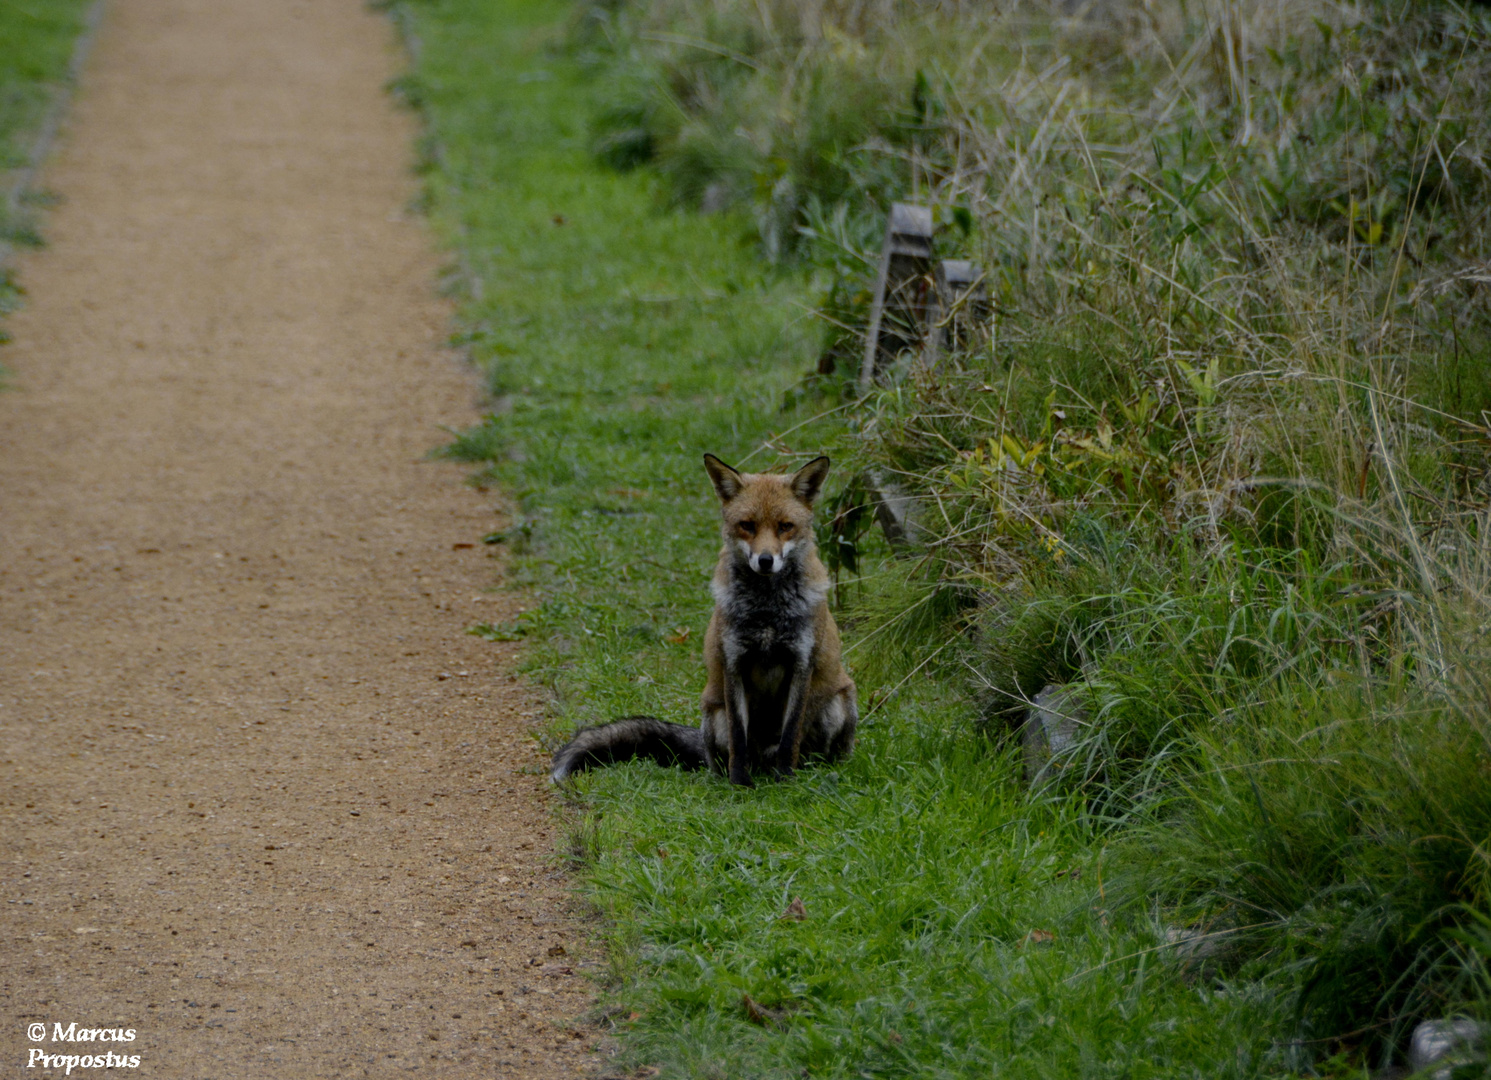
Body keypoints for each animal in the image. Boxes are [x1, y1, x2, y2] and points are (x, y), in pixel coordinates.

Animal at [551, 450, 858, 787]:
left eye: (785, 526)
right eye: (747, 525)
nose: (765, 560)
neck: (766, 612)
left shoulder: (801, 664)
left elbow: (790, 736)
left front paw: (785, 781)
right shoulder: (733, 663)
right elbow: (739, 738)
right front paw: (739, 784)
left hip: (838, 702)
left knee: (808, 751)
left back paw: (811, 770)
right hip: (713, 714)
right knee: (728, 754)